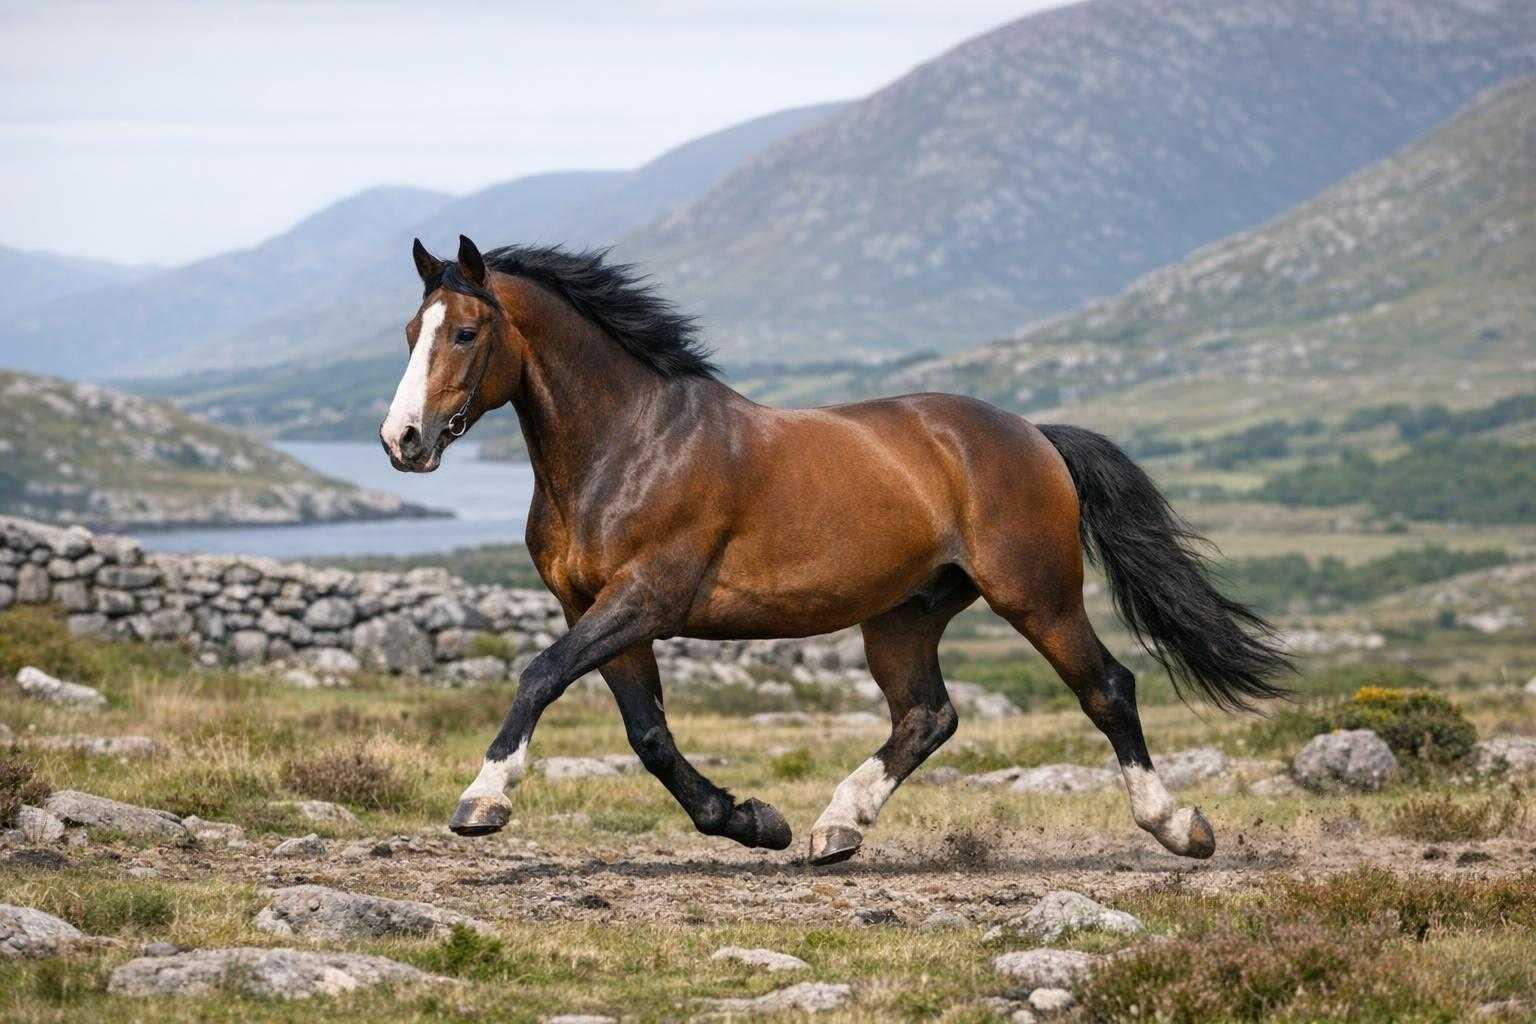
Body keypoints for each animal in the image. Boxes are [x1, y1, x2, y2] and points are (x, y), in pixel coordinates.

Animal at [379, 234, 1291, 865]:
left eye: (466, 332)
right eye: (410, 330)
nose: (402, 440)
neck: (630, 443)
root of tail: (1035, 434)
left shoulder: (643, 599)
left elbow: (540, 675)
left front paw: (483, 799)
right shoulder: (597, 608)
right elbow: (649, 735)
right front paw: (752, 822)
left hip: (1037, 593)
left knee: (1106, 688)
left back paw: (1179, 827)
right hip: (905, 614)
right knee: (928, 715)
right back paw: (834, 827)